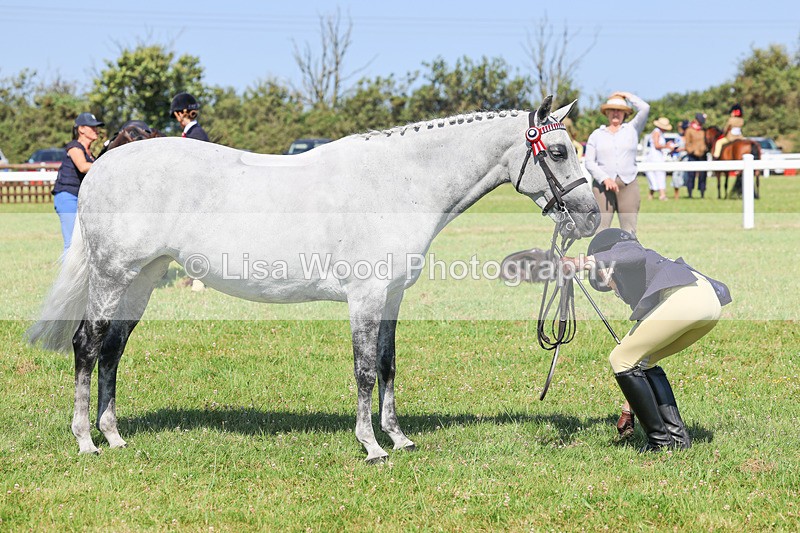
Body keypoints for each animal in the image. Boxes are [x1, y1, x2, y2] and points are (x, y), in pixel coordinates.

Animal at [27, 96, 600, 463]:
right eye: (557, 152)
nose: (592, 217)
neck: (398, 182)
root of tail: (105, 164)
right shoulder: (365, 296)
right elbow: (365, 370)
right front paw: (371, 446)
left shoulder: (392, 297)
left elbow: (388, 366)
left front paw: (399, 439)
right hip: (112, 275)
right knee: (87, 344)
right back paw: (85, 441)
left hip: (142, 280)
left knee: (113, 350)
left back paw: (114, 436)